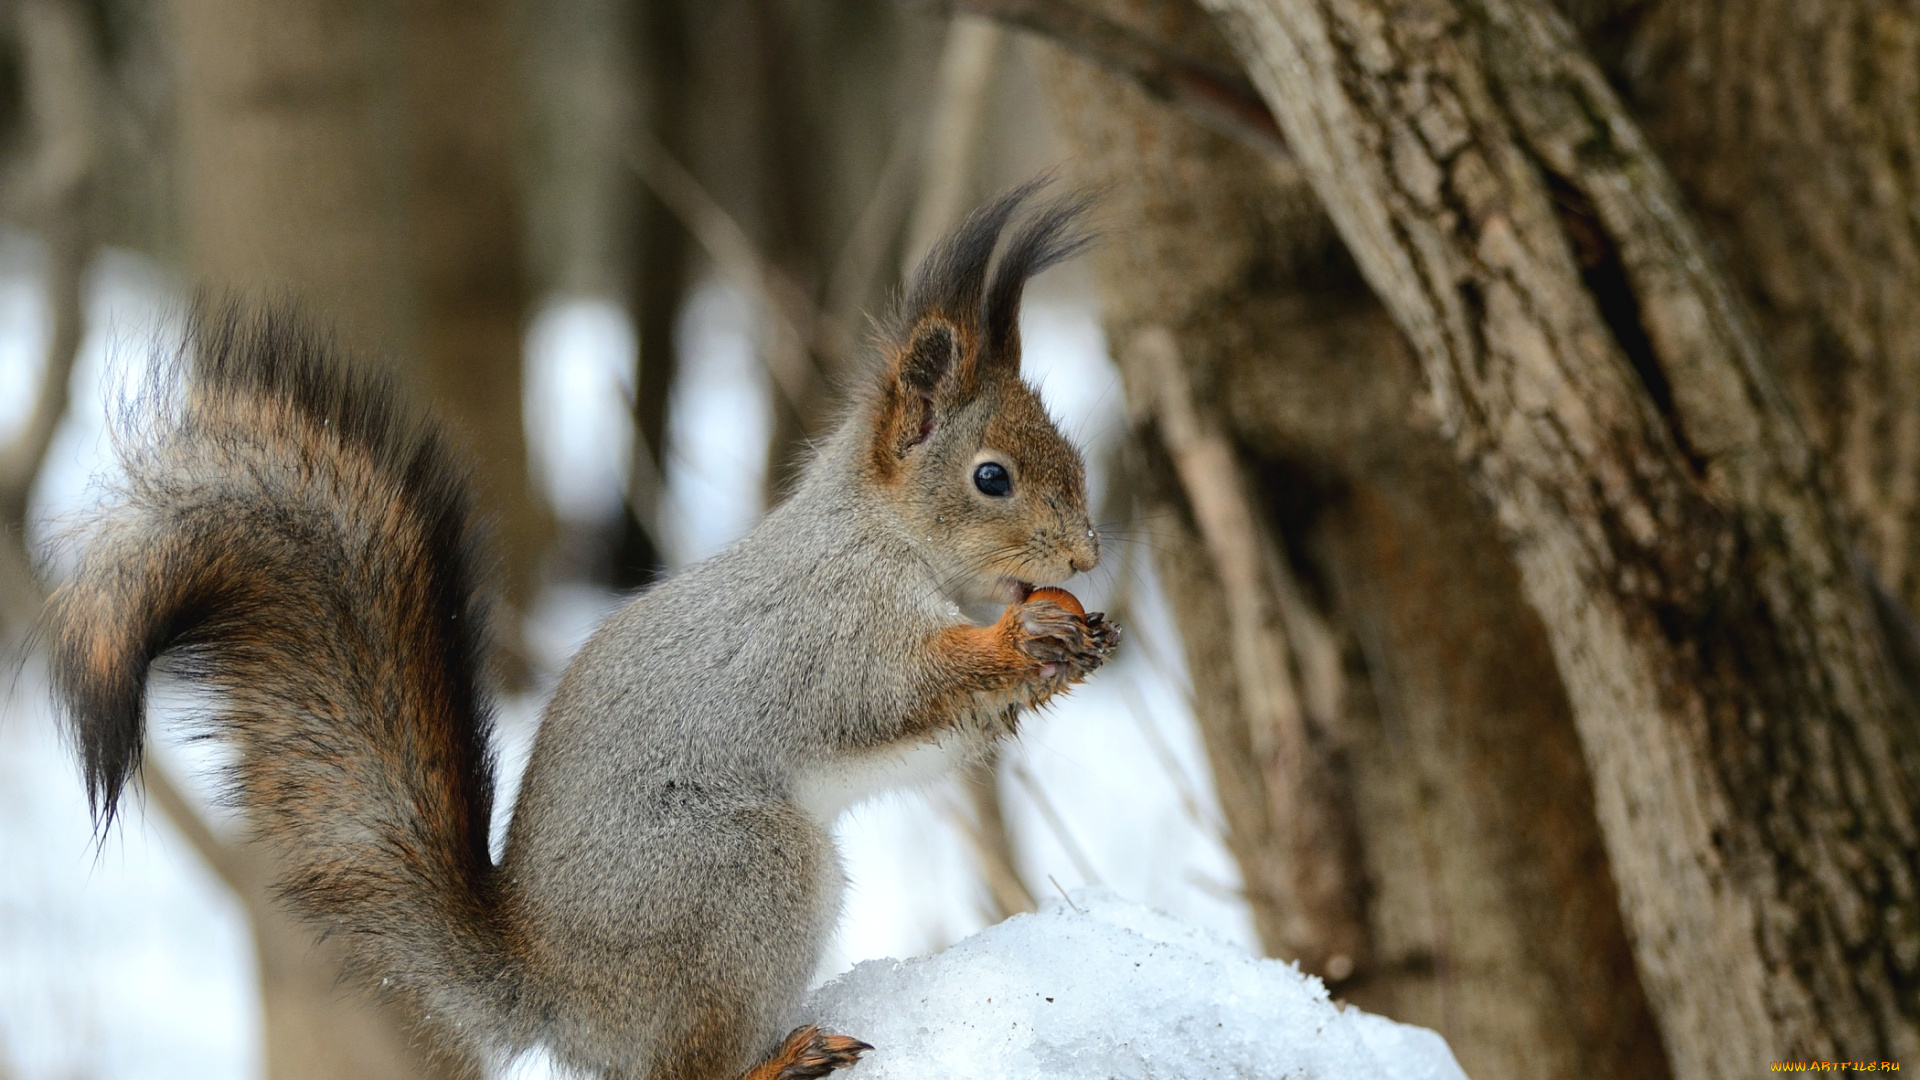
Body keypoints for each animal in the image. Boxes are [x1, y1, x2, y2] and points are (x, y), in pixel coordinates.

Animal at [41, 184, 1121, 1076]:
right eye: (992, 478)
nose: (1085, 552)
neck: (887, 538)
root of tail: (555, 994)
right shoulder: (827, 629)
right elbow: (893, 688)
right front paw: (1017, 642)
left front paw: (1071, 644)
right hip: (740, 880)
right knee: (683, 1067)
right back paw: (781, 1059)